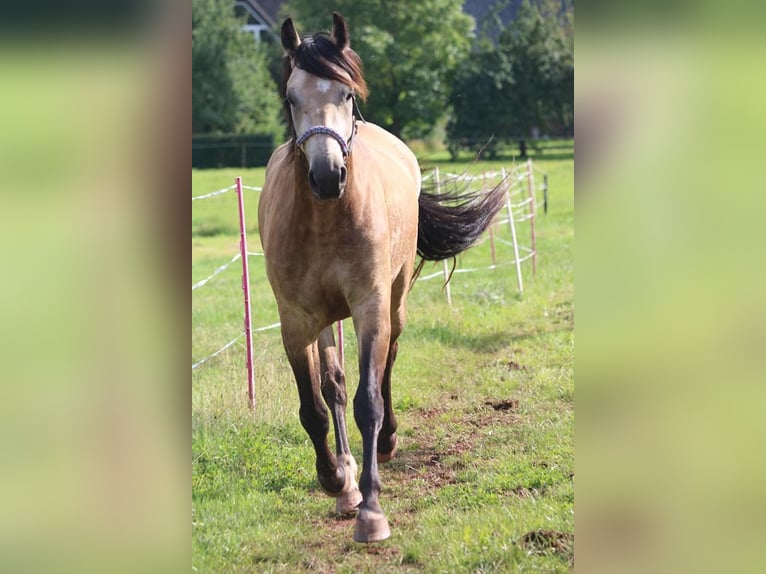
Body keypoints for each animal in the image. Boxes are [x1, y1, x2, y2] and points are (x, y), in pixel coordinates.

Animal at [260, 14, 510, 544]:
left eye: (346, 94)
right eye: (291, 97)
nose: (327, 175)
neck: (324, 219)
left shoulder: (369, 306)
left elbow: (368, 401)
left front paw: (372, 512)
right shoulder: (296, 321)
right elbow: (315, 405)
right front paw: (335, 479)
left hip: (393, 300)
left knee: (390, 357)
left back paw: (387, 445)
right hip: (326, 320)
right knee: (333, 383)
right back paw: (348, 482)